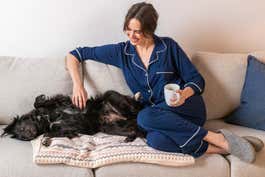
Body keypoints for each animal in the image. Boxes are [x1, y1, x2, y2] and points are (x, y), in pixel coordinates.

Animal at [1, 90, 144, 145]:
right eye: (21, 137)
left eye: (21, 129)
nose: (27, 137)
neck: (45, 120)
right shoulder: (69, 130)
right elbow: (50, 133)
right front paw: (45, 140)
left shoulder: (61, 100)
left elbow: (39, 103)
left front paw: (39, 99)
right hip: (109, 128)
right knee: (134, 130)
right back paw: (129, 137)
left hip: (112, 96)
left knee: (135, 111)